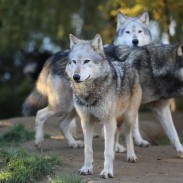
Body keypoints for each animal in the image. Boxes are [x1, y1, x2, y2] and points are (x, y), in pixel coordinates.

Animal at [66, 33, 142, 178]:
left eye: (86, 61)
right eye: (73, 62)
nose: (76, 77)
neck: (89, 94)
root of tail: (127, 64)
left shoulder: (108, 120)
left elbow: (106, 151)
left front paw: (107, 172)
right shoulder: (86, 122)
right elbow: (88, 149)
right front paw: (87, 168)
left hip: (128, 117)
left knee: (128, 135)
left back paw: (131, 156)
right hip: (115, 121)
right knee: (115, 136)